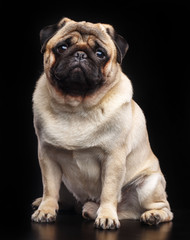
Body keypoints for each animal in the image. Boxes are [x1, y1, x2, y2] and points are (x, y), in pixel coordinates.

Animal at [31, 17, 174, 229]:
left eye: (100, 54)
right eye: (62, 47)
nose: (80, 54)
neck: (76, 107)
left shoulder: (113, 159)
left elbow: (109, 190)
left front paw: (106, 216)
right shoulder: (47, 156)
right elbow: (49, 188)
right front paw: (46, 210)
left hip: (149, 186)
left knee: (163, 209)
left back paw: (152, 215)